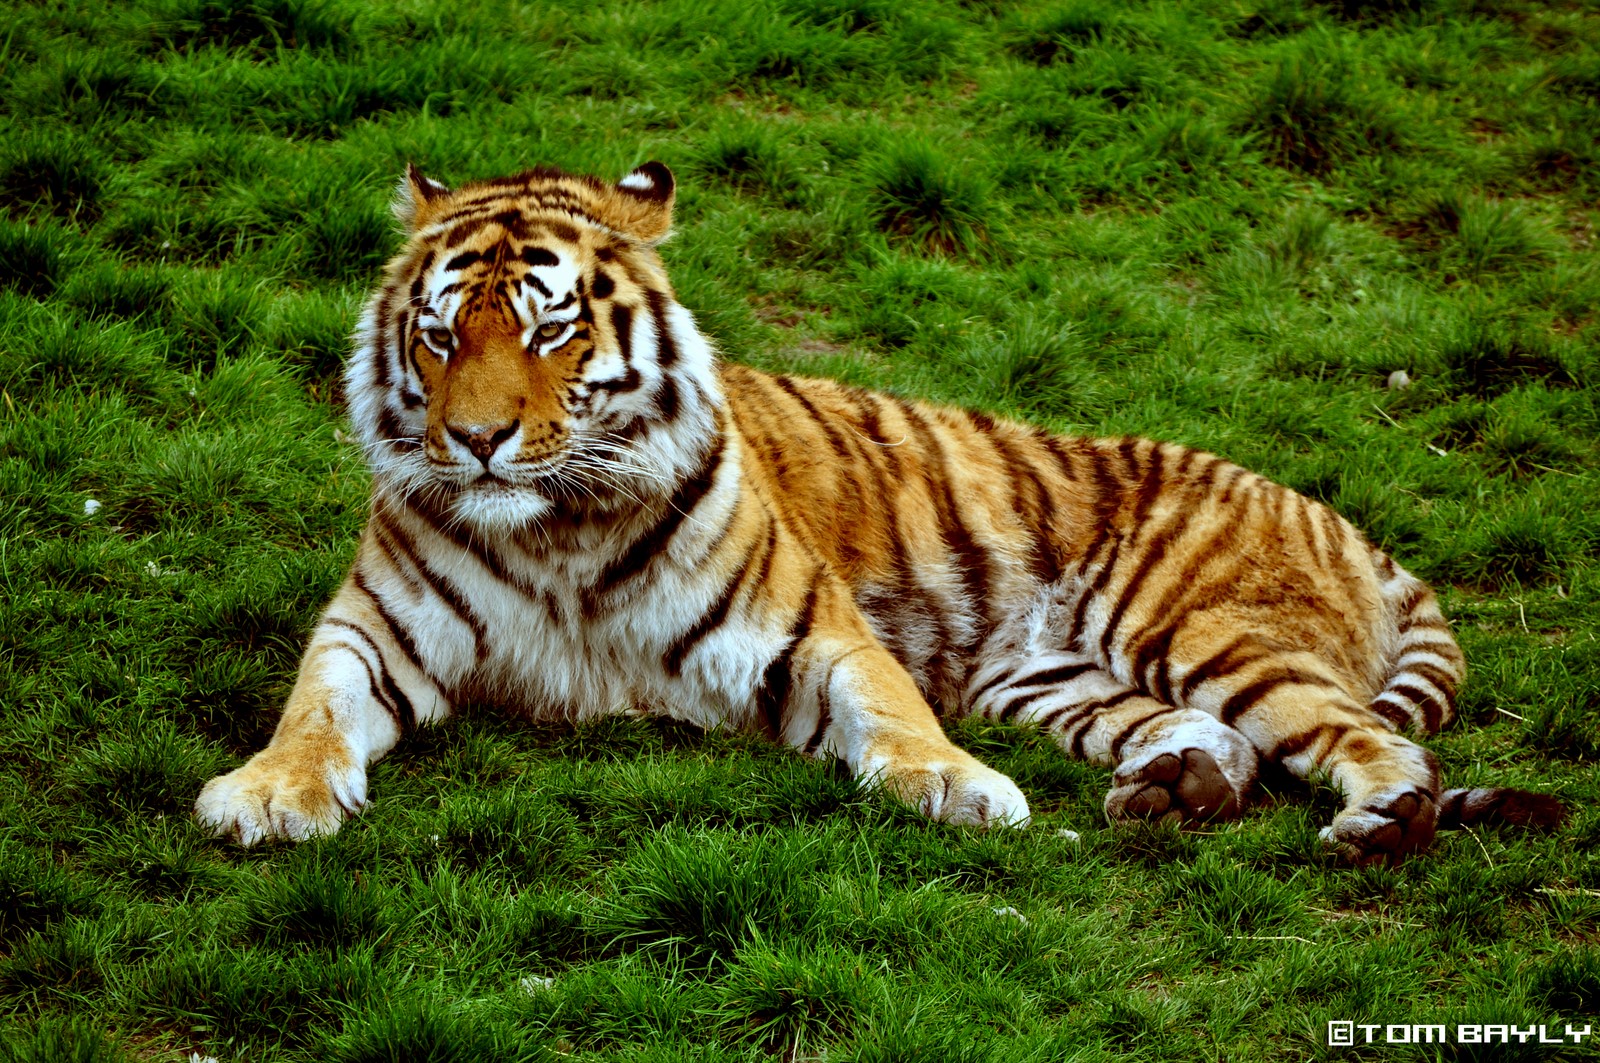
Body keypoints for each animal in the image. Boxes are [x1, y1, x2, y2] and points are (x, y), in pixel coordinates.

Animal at [193, 160, 1568, 864]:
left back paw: (1379, 818)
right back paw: (1175, 793)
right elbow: (313, 711)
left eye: (548, 330)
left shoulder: (814, 632)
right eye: (439, 335)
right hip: (1063, 680)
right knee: (1219, 743)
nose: (474, 439)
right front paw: (265, 794)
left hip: (1203, 626)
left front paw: (960, 789)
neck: (560, 526)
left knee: (1366, 740)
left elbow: (894, 712)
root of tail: (1344, 521)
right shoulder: (371, 630)